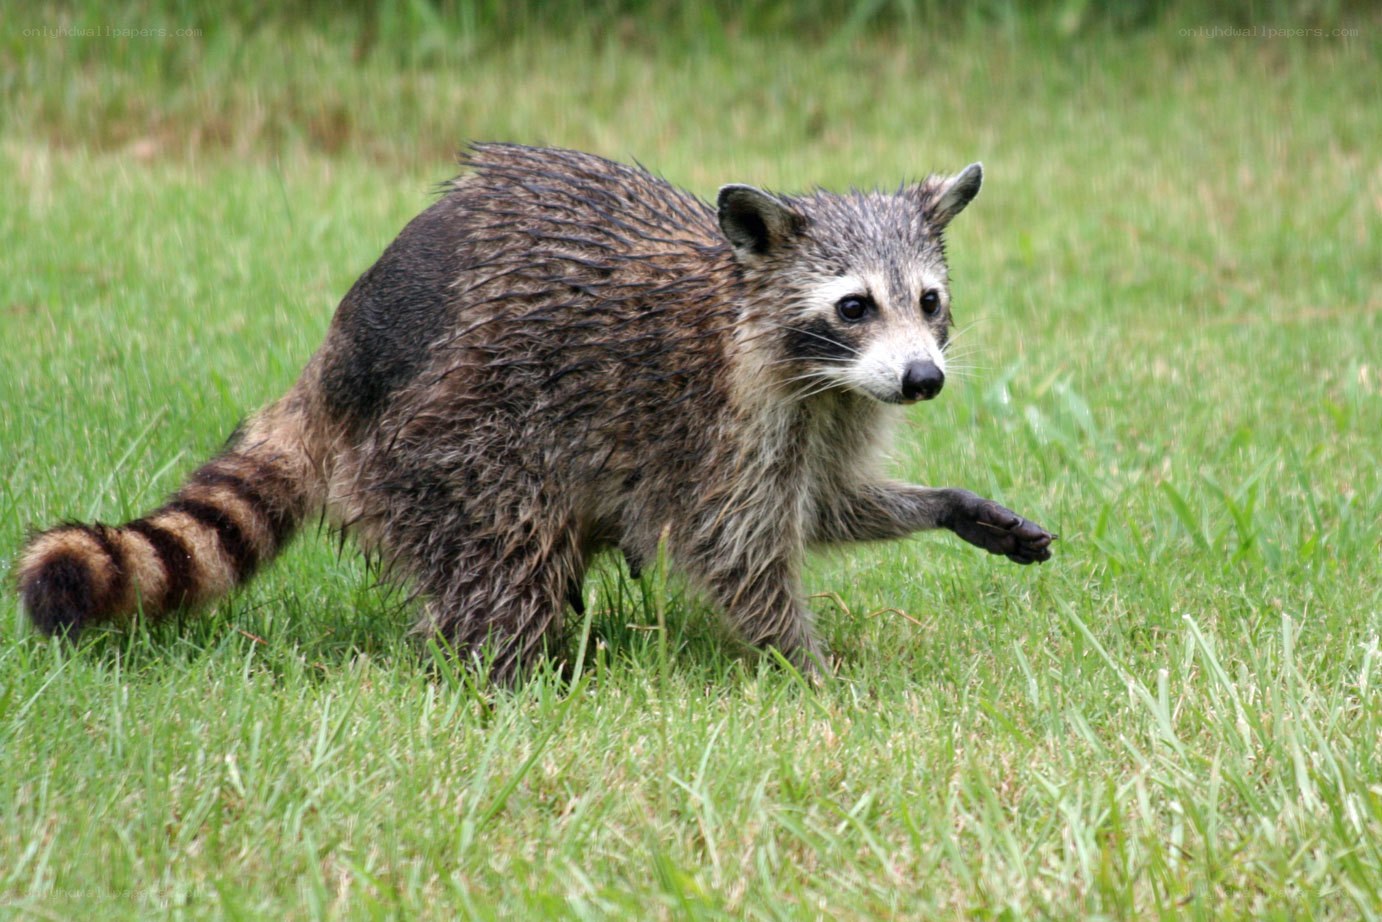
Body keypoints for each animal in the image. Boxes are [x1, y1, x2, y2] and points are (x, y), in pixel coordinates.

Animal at [16, 143, 1054, 678]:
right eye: (853, 306)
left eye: (928, 302)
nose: (923, 381)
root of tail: (342, 355)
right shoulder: (720, 420)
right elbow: (737, 547)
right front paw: (809, 667)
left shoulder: (829, 409)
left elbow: (827, 505)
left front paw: (946, 504)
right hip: (449, 430)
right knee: (504, 545)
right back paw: (513, 669)